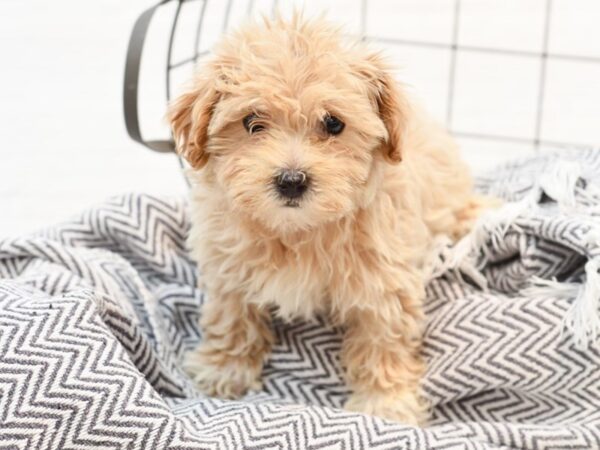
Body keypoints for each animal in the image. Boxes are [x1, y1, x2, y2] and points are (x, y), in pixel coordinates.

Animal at [170, 14, 482, 426]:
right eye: (252, 121)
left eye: (333, 124)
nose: (291, 180)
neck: (299, 230)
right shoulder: (228, 265)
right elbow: (231, 316)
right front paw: (224, 369)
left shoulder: (384, 281)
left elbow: (384, 340)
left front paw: (385, 402)